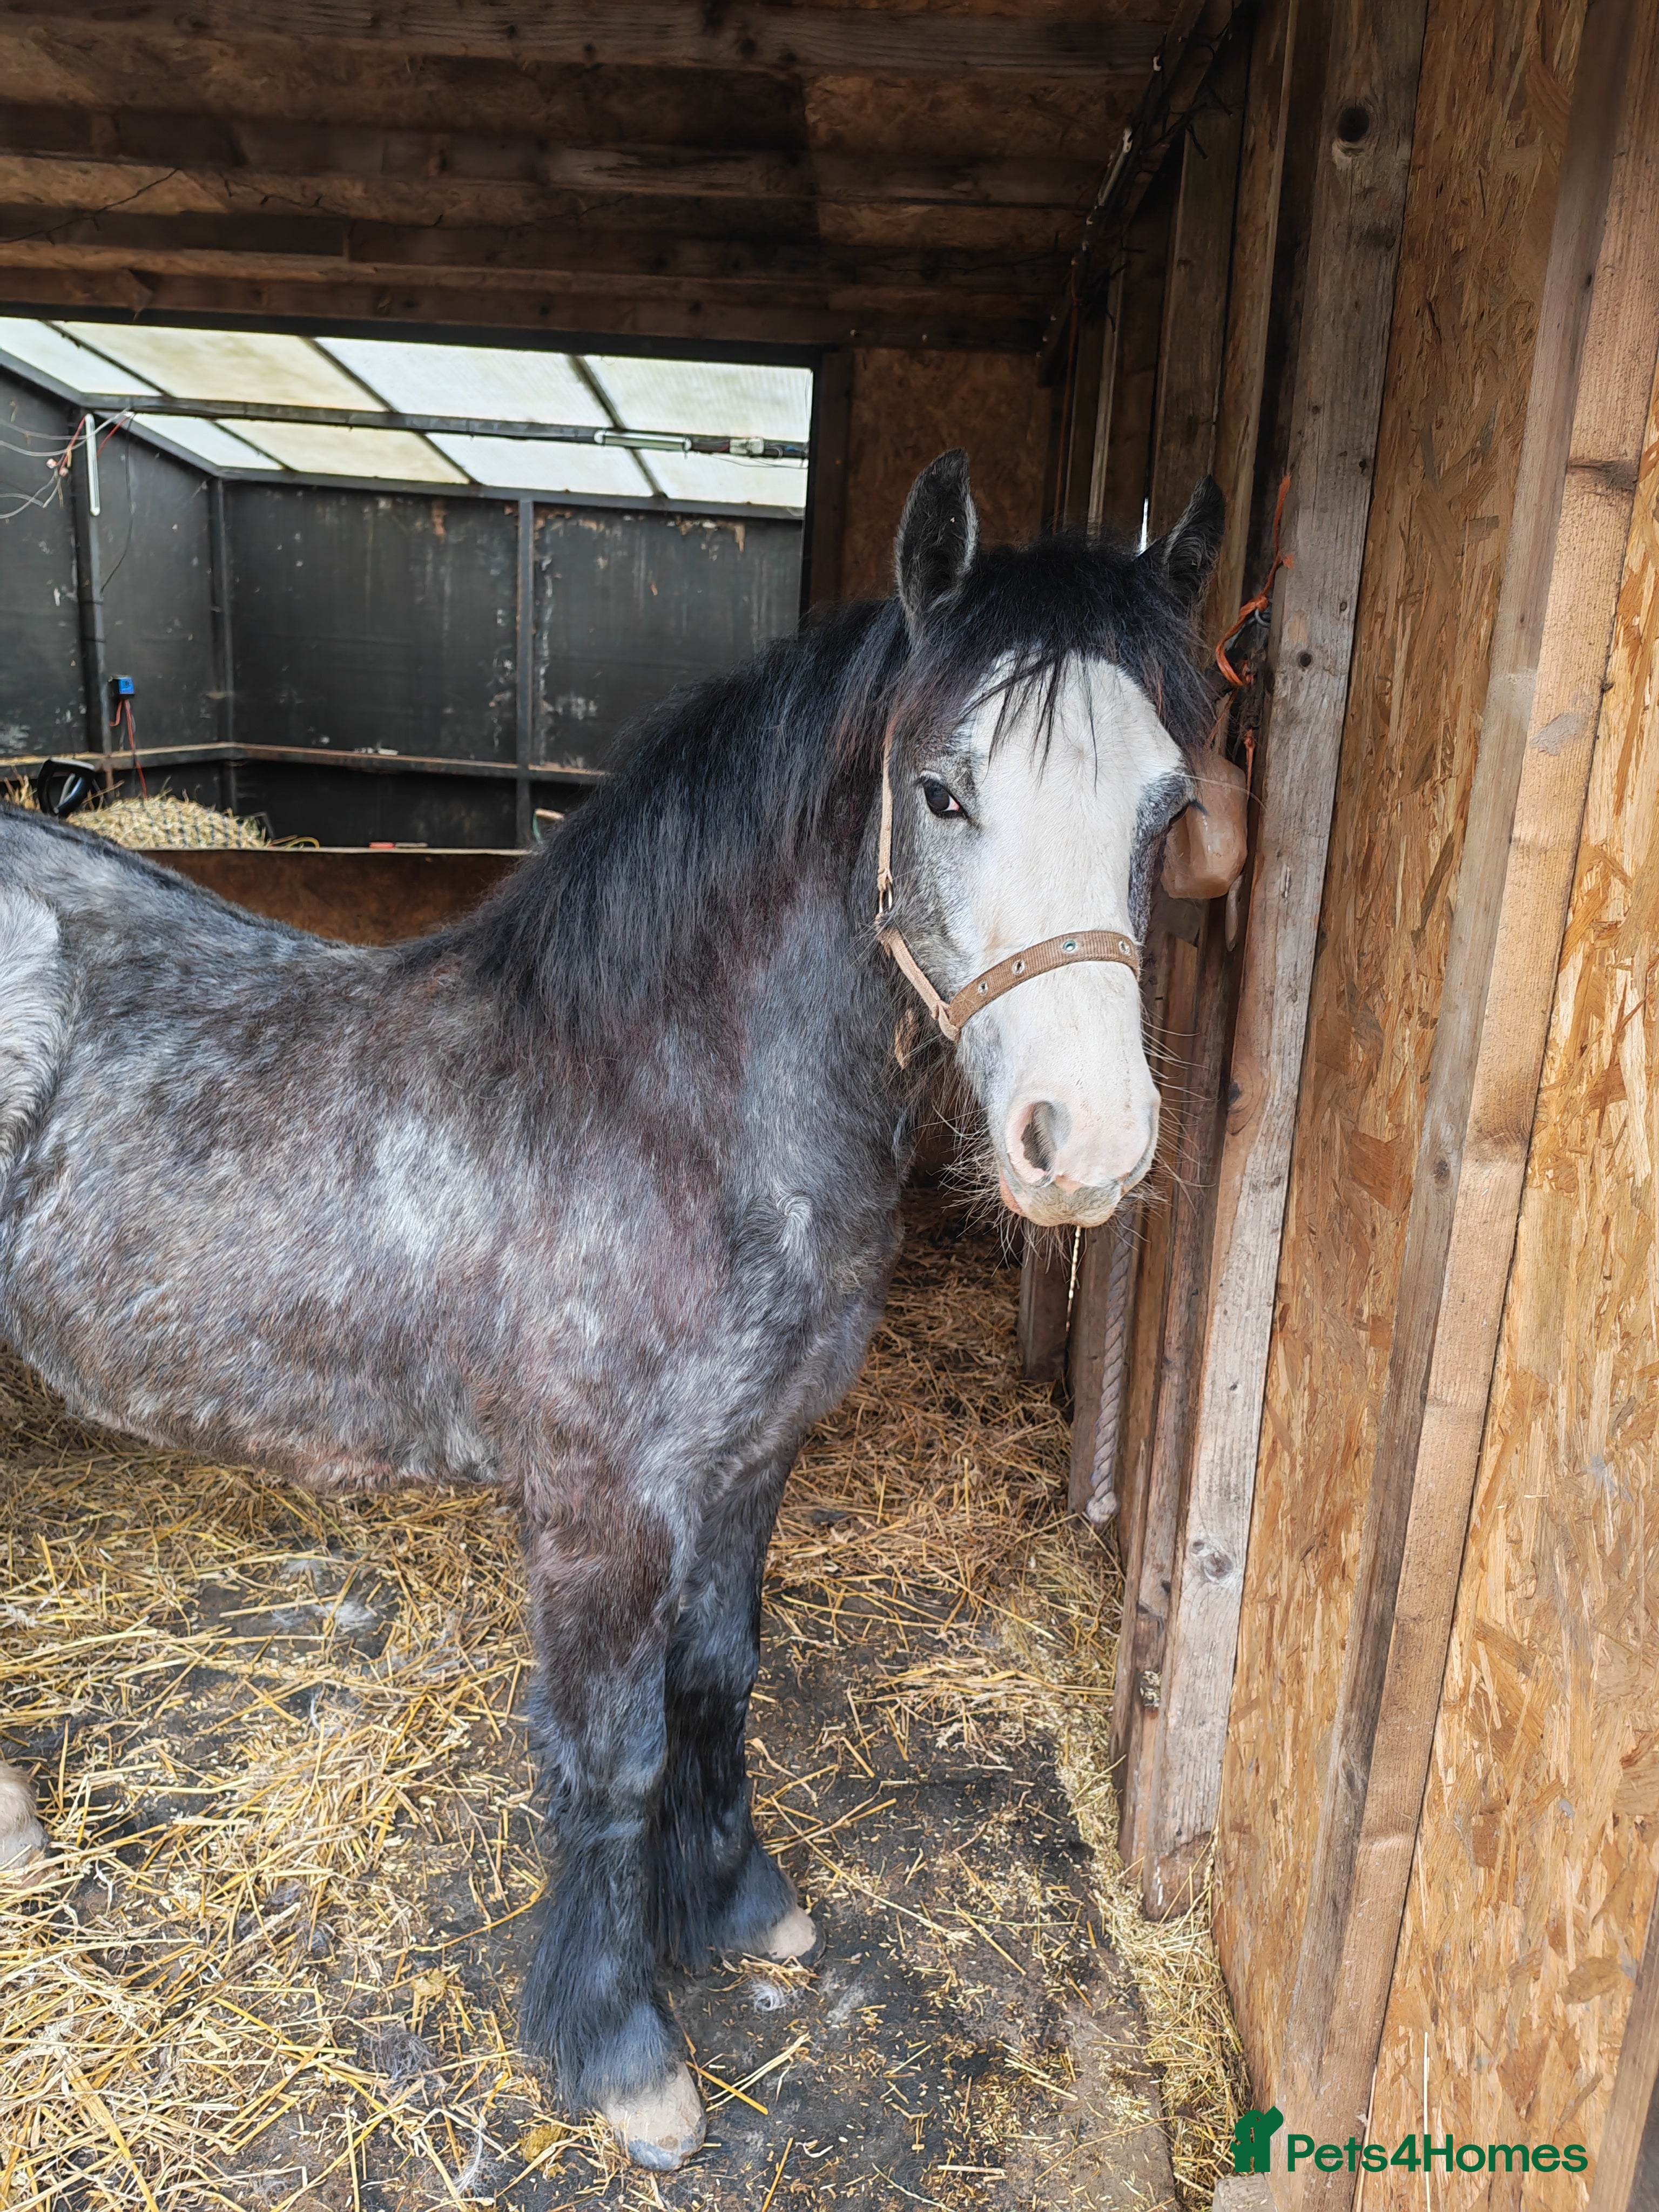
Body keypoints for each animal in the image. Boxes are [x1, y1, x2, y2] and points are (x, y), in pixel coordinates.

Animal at [0, 451, 1222, 2170]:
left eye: (1165, 811)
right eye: (942, 793)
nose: (1087, 1145)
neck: (665, 1114)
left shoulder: (746, 1464)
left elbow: (719, 1679)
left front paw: (737, 1905)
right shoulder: (597, 1505)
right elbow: (613, 1747)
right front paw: (618, 2040)